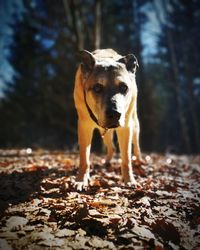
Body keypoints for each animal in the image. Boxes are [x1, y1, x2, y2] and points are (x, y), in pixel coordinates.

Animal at [74, 48, 143, 189]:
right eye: (97, 88)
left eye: (124, 87)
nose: (115, 114)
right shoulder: (84, 126)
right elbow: (84, 158)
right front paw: (81, 179)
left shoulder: (126, 127)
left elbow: (126, 158)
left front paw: (129, 180)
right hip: (104, 133)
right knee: (112, 147)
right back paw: (107, 162)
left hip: (134, 124)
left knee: (136, 146)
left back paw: (139, 161)